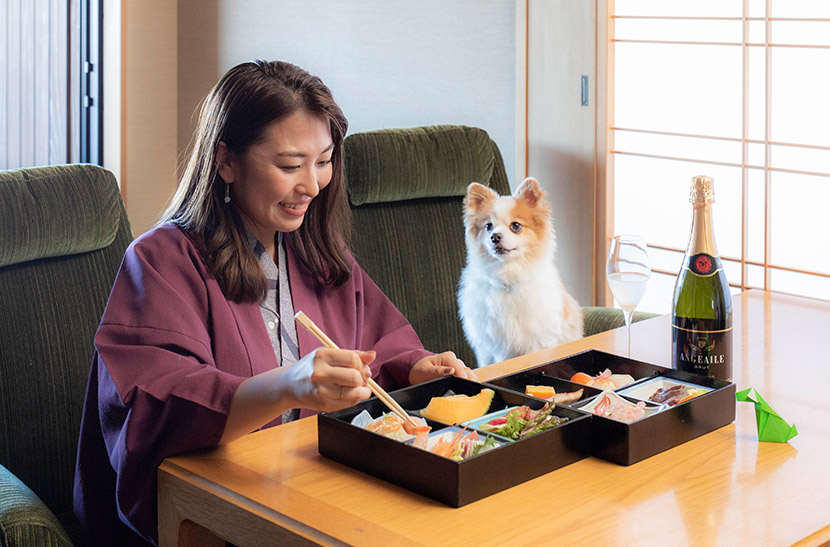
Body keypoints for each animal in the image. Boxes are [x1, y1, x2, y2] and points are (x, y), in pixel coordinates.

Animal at [456, 178, 584, 368]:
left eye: (515, 226)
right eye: (488, 226)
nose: (495, 236)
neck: (507, 277)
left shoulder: (538, 341)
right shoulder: (489, 348)